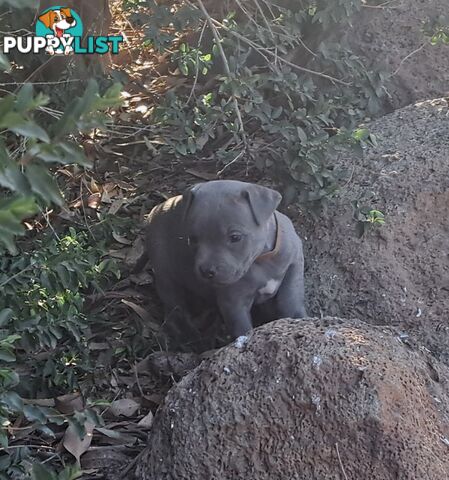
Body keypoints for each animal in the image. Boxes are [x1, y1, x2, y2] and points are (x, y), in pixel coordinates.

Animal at [145, 181, 306, 342]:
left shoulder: (294, 267)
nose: (206, 271)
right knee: (174, 304)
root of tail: (158, 208)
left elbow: (290, 301)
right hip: (164, 272)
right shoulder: (233, 302)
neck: (263, 259)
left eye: (235, 237)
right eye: (192, 239)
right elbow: (244, 329)